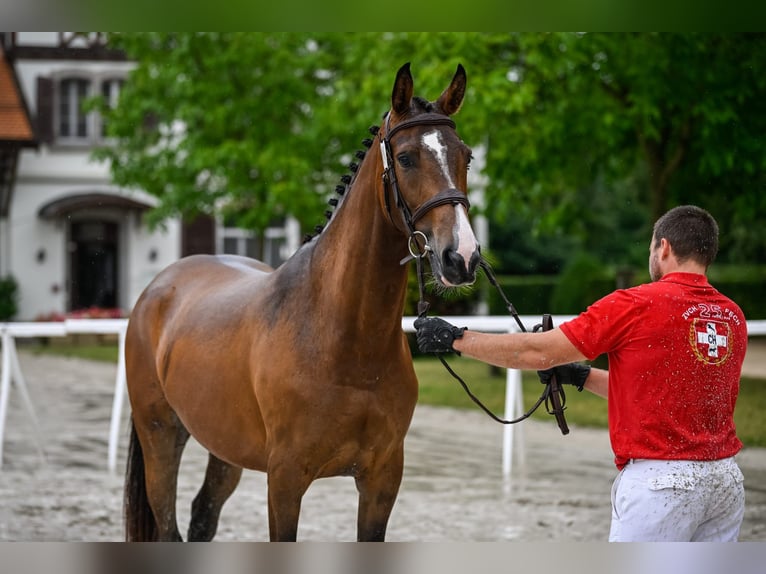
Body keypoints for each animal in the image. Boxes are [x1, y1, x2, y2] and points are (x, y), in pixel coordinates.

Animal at [124, 64, 480, 544]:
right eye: (406, 158)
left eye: (467, 157)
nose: (462, 256)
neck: (346, 343)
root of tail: (158, 288)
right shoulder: (285, 480)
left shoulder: (382, 481)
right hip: (160, 434)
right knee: (168, 524)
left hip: (224, 447)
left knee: (203, 515)